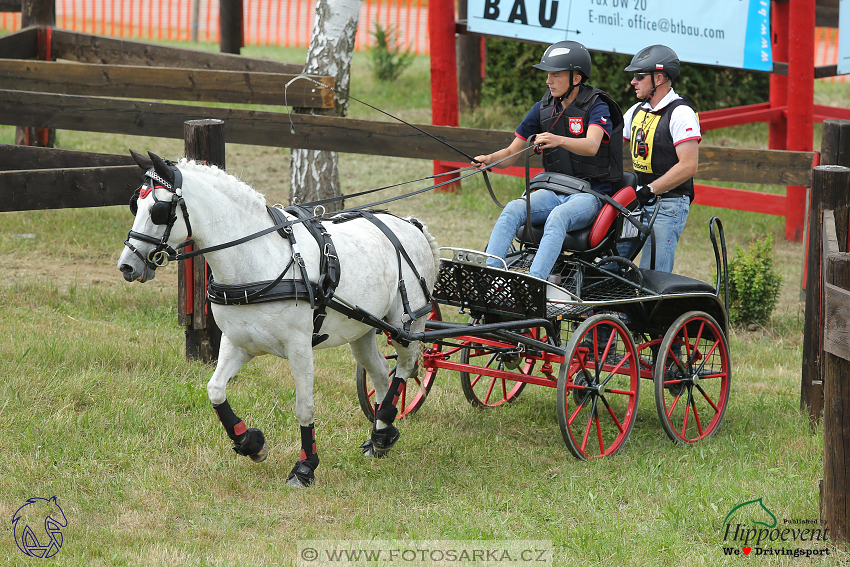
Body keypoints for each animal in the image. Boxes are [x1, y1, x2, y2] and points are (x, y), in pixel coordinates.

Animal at [117, 152, 438, 488]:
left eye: (158, 210)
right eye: (135, 204)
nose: (127, 265)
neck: (257, 258)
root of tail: (412, 225)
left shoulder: (300, 347)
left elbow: (304, 406)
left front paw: (305, 466)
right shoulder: (238, 342)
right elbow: (215, 390)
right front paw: (250, 443)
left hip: (405, 325)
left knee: (405, 366)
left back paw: (385, 421)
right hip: (361, 329)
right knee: (379, 372)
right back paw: (381, 434)